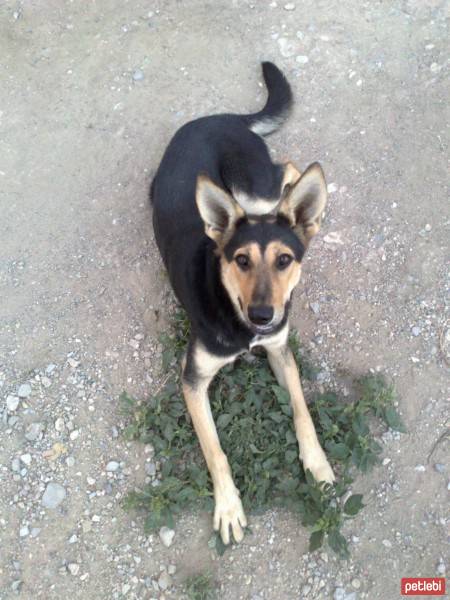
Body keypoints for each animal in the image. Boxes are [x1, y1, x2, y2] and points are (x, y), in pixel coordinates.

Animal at [151, 63, 334, 548]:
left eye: (285, 260)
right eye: (241, 260)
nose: (263, 317)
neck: (235, 310)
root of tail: (217, 118)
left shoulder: (280, 350)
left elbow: (303, 412)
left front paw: (318, 464)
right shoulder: (192, 381)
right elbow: (215, 450)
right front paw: (229, 506)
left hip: (255, 194)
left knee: (286, 174)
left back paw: (301, 193)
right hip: (238, 196)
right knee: (281, 175)